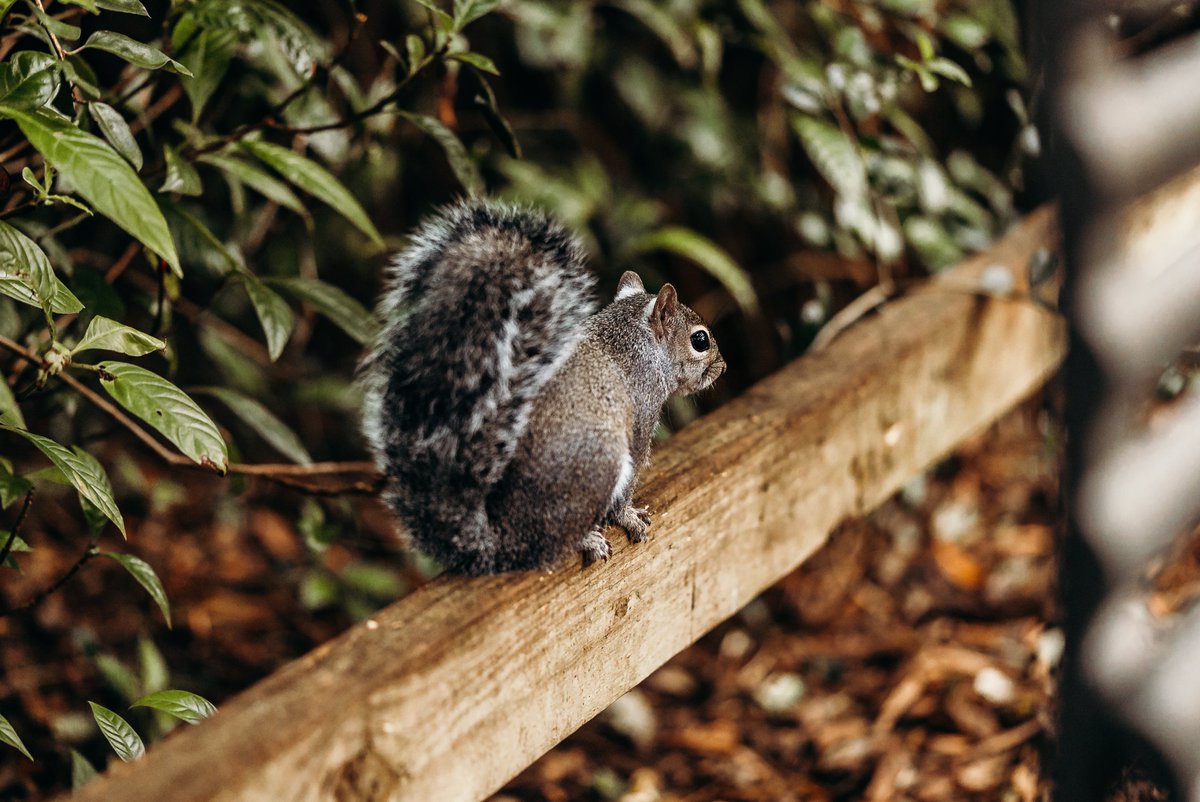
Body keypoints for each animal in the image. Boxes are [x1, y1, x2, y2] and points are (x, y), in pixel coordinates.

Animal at [359, 199, 726, 574]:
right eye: (700, 340)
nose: (722, 366)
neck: (630, 340)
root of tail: (503, 543)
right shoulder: (640, 414)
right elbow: (631, 476)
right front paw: (629, 516)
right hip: (600, 461)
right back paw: (586, 539)